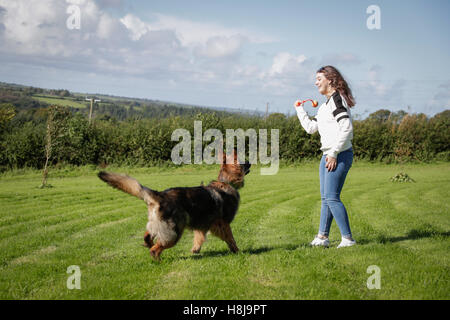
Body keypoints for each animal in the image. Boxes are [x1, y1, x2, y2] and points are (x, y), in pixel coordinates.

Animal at [97, 150, 250, 260]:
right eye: (243, 161)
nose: (250, 162)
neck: (225, 182)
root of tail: (160, 195)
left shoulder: (201, 225)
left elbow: (199, 238)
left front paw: (195, 250)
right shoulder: (223, 223)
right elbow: (230, 239)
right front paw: (237, 251)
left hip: (157, 225)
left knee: (147, 236)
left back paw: (149, 244)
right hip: (174, 232)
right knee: (155, 249)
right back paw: (158, 260)